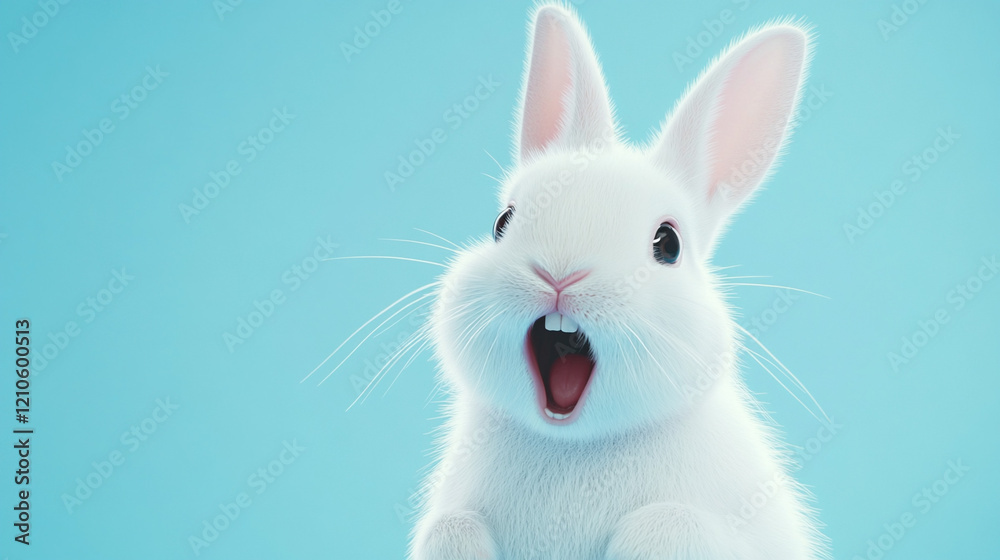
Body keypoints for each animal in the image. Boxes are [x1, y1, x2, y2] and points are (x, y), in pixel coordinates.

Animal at [409, 4, 827, 560]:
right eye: (502, 221)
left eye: (668, 244)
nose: (559, 273)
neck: (571, 443)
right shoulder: (448, 521)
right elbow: (452, 528)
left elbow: (666, 524)